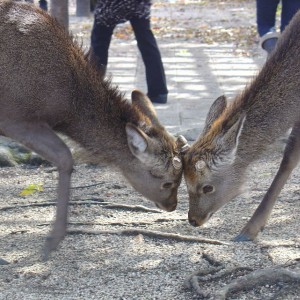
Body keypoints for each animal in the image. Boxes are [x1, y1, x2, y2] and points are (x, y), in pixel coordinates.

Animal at [0, 0, 188, 258]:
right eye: (167, 181)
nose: (172, 205)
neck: (68, 106)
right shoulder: (15, 118)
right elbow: (65, 157)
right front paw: (53, 240)